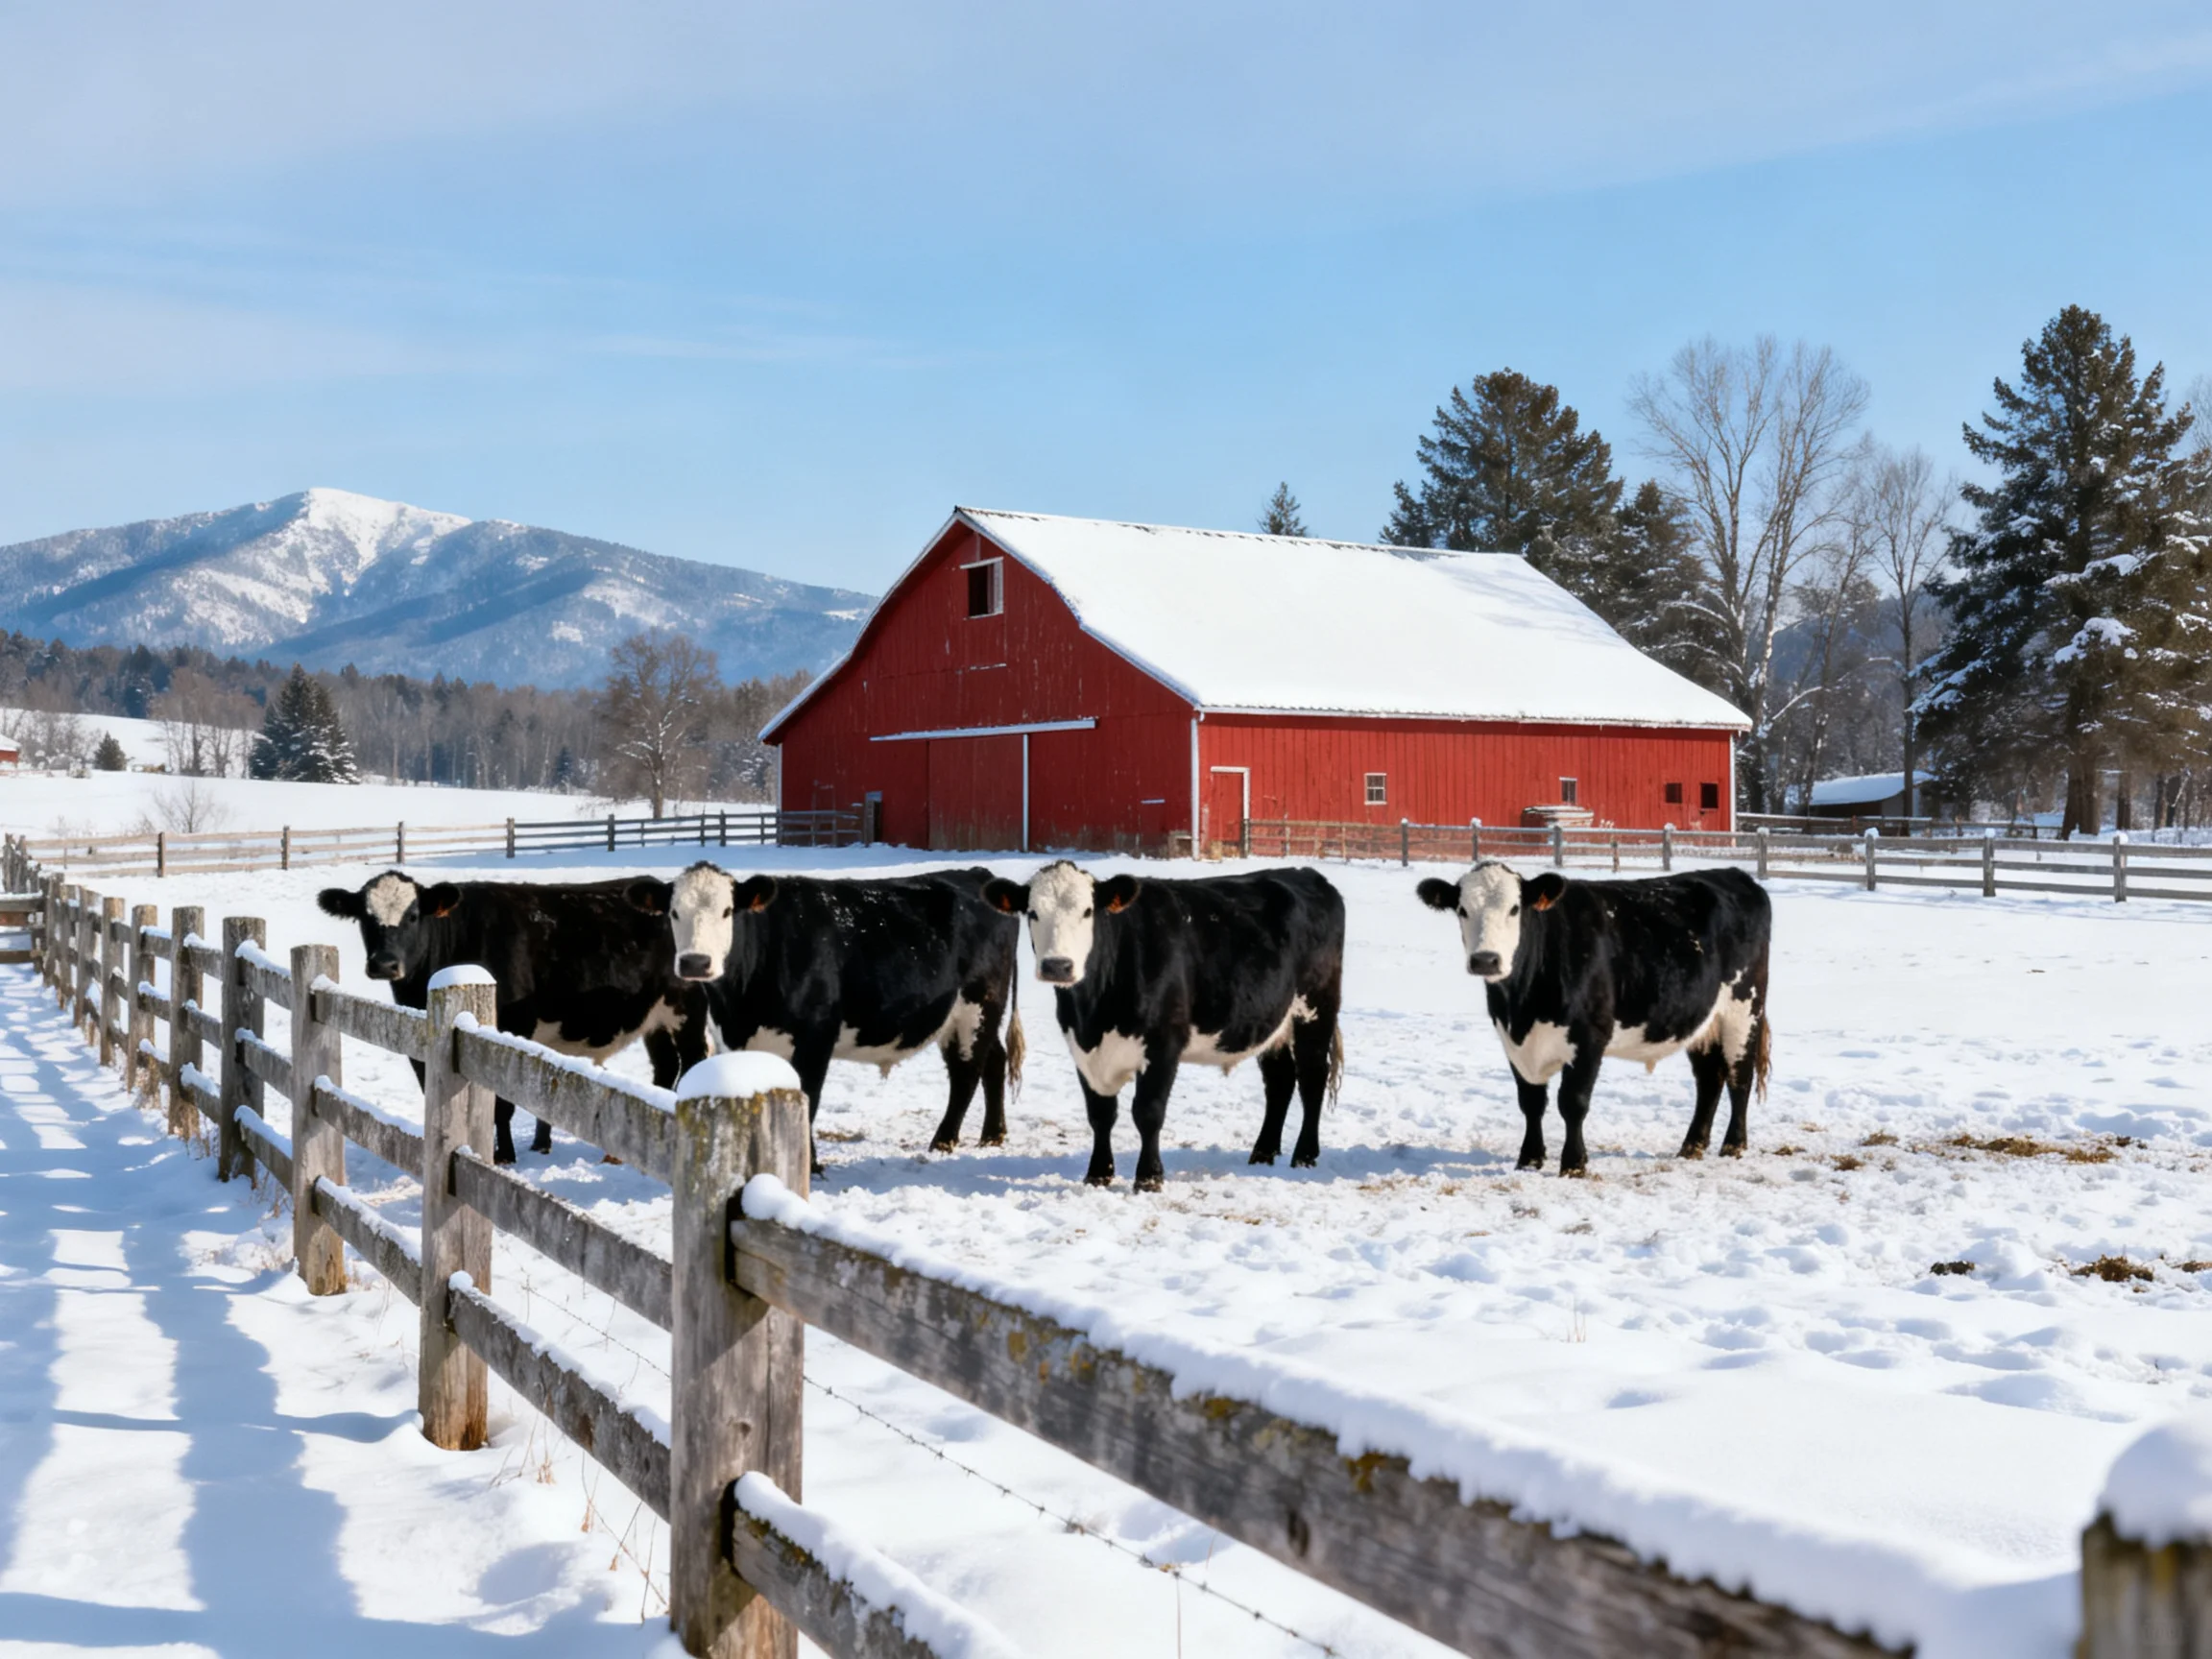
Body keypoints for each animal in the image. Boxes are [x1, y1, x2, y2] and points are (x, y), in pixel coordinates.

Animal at [317, 870, 711, 1163]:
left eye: (413, 916)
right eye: (364, 918)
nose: (384, 964)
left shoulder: (512, 1028)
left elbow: (501, 1105)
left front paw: (503, 1155)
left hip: (686, 1010)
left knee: (692, 1060)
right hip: (652, 1018)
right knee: (665, 1066)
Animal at [628, 862, 1023, 1170]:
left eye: (728, 912)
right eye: (674, 912)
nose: (696, 962)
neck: (740, 1001)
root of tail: (974, 874)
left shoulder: (816, 1036)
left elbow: (809, 1098)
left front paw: (811, 1164)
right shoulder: (735, 1039)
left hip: (978, 1006)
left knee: (966, 1072)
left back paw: (943, 1141)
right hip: (968, 1017)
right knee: (994, 1061)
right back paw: (993, 1134)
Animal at [981, 861, 1345, 1192]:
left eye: (1087, 912)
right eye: (1032, 912)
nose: (1057, 965)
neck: (1095, 1010)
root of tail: (1303, 872)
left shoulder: (1163, 1044)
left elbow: (1148, 1112)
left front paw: (1149, 1177)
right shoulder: (1081, 1047)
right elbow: (1100, 1114)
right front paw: (1098, 1173)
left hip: (1315, 1009)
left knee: (1312, 1077)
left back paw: (1304, 1156)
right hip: (1271, 1022)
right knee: (1280, 1081)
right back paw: (1263, 1153)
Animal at [1416, 862, 1771, 1176]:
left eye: (1515, 909)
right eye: (1462, 910)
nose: (1486, 960)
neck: (1522, 1005)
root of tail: (1734, 874)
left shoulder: (1589, 1037)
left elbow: (1572, 1102)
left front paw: (1573, 1164)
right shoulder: (1513, 1042)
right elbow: (1531, 1102)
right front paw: (1529, 1159)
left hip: (1743, 1008)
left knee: (1739, 1076)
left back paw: (1733, 1145)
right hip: (1702, 1020)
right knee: (1709, 1079)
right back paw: (1691, 1147)